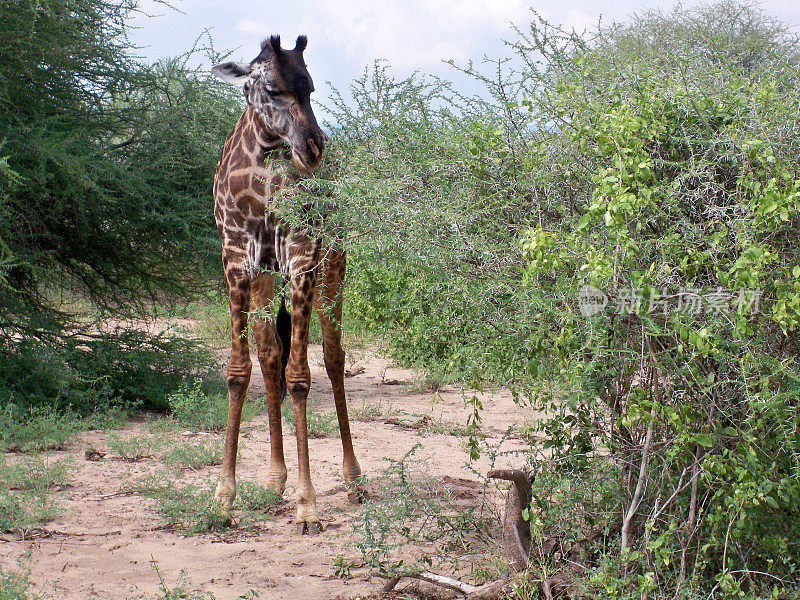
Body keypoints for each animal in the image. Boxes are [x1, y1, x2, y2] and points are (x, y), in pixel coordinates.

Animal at [211, 34, 364, 536]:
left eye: (311, 88)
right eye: (271, 89)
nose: (313, 148)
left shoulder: (302, 255)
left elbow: (301, 377)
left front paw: (308, 504)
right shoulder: (236, 259)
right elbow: (241, 370)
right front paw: (224, 496)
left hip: (334, 265)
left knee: (333, 358)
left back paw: (353, 479)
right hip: (266, 278)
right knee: (270, 355)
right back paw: (275, 477)